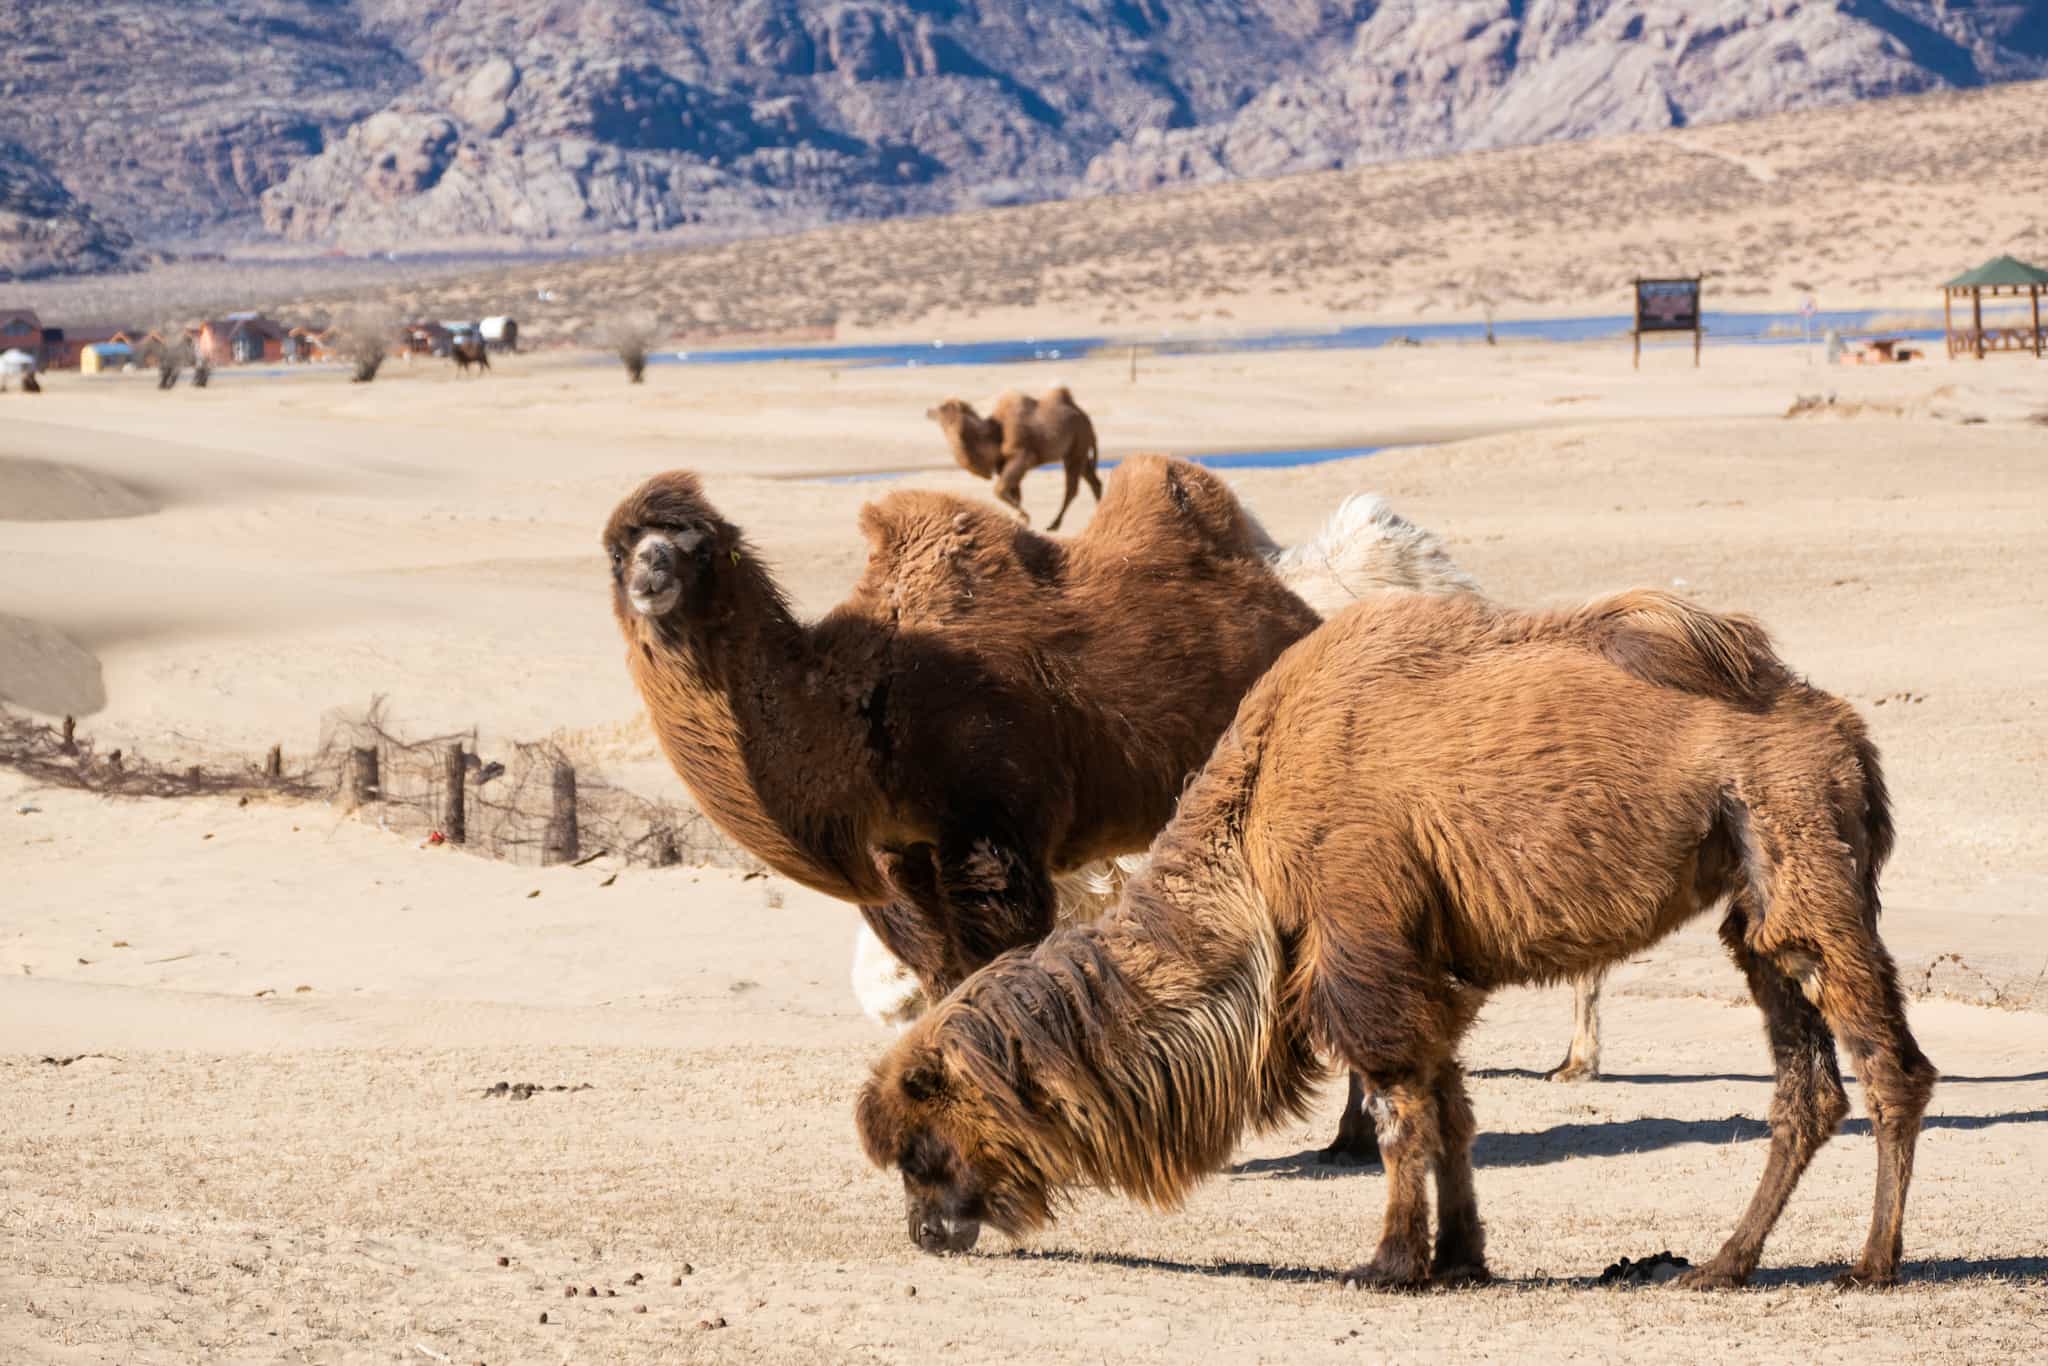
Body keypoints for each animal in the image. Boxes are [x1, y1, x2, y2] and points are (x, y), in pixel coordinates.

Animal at [605, 455, 1318, 1005]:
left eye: (697, 544)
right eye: (617, 550)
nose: (651, 573)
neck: (863, 705)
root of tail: (1298, 613)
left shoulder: (992, 831)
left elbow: (994, 962)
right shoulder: (902, 852)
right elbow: (940, 972)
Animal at [859, 589, 1935, 1292]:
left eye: (919, 1146)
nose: (924, 1233)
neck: (1252, 823)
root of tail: (1843, 732)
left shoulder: (1360, 942)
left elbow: (1397, 1111)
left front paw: (1386, 1262)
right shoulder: (1424, 961)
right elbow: (1451, 1109)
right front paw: (1459, 1257)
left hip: (1798, 841)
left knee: (1890, 1065)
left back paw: (1870, 1263)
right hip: (1755, 896)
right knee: (1806, 1083)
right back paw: (1719, 1264)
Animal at [926, 386, 1100, 530]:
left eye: (943, 409)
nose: (928, 411)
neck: (995, 436)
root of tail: (1085, 416)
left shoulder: (1021, 457)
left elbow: (999, 490)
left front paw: (1024, 517)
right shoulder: (1003, 464)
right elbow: (1014, 493)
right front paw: (1020, 520)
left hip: (1077, 443)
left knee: (1072, 487)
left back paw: (1054, 524)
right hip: (1078, 448)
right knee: (1092, 480)